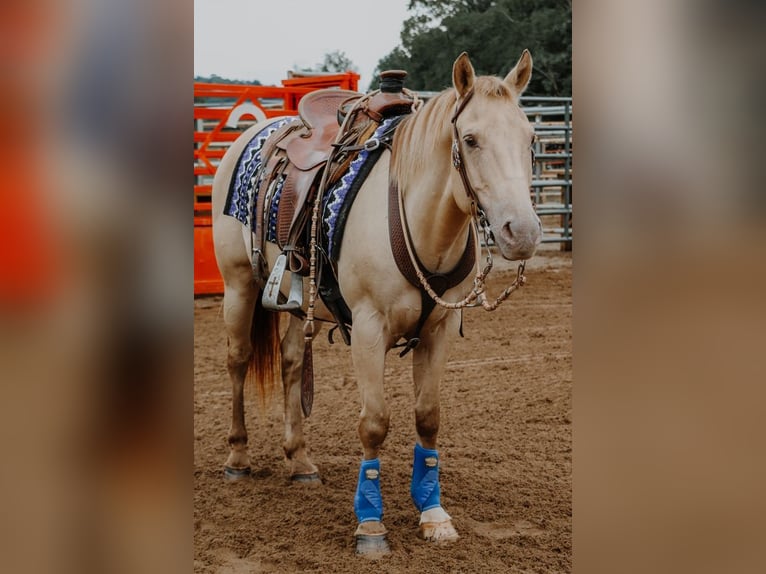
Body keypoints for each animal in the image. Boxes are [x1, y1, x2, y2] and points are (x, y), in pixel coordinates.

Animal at [211, 50, 542, 556]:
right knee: (239, 360)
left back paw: (300, 460)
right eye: (470, 139)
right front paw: (370, 523)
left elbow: (428, 417)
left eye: (530, 138)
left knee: (291, 363)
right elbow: (374, 423)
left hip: (296, 302)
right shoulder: (368, 330)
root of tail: (250, 133)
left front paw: (433, 513)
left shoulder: (439, 331)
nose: (521, 232)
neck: (419, 223)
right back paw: (238, 455)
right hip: (239, 285)